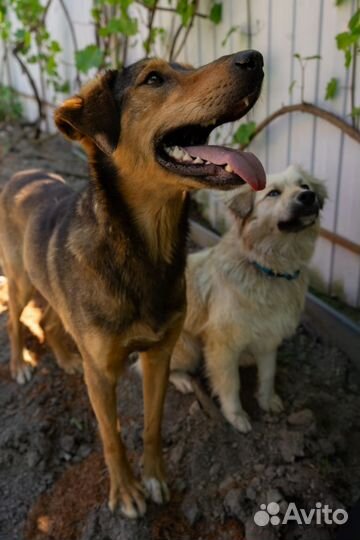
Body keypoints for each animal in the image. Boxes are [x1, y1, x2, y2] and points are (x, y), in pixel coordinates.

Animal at [0, 52, 264, 516]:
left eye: (188, 66)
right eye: (154, 79)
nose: (255, 59)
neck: (143, 250)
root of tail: (23, 173)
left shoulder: (158, 354)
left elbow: (152, 424)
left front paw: (155, 477)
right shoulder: (103, 375)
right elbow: (112, 436)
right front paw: (125, 491)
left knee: (49, 321)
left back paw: (66, 358)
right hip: (19, 281)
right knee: (15, 322)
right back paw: (19, 366)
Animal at [169, 165, 326, 430]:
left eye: (304, 186)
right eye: (273, 193)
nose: (308, 197)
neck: (269, 269)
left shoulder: (269, 336)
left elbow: (268, 373)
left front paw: (267, 400)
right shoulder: (222, 346)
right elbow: (230, 384)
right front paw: (236, 416)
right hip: (188, 347)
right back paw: (181, 379)